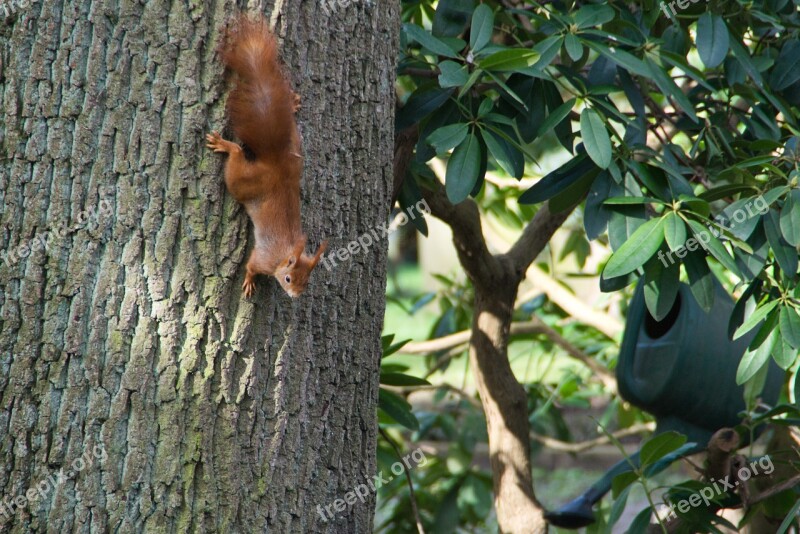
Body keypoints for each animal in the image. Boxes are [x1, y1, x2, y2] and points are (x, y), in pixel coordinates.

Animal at [211, 16, 330, 300]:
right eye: (288, 278)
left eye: (306, 282)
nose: (296, 296)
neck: (284, 255)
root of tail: (276, 163)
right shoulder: (263, 258)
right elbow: (251, 266)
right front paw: (249, 281)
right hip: (242, 181)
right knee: (237, 155)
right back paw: (224, 144)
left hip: (295, 151)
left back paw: (292, 103)